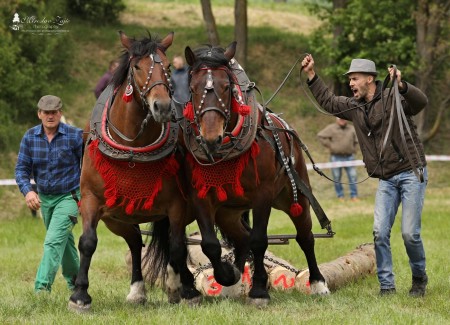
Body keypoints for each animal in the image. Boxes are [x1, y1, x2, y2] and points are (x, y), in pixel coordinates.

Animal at [67, 31, 201, 310]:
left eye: (168, 67)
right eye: (137, 67)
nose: (162, 106)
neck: (133, 148)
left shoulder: (176, 205)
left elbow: (177, 246)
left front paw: (187, 289)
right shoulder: (91, 199)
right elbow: (88, 242)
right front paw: (80, 295)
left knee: (174, 242)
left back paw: (178, 283)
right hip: (117, 218)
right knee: (135, 242)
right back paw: (137, 289)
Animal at [181, 41, 332, 306]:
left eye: (227, 87)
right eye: (192, 87)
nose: (211, 138)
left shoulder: (263, 195)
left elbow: (259, 240)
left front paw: (260, 290)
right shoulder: (200, 196)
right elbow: (210, 244)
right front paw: (228, 275)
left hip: (293, 196)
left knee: (305, 236)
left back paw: (318, 283)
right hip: (228, 212)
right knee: (241, 239)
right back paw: (235, 280)